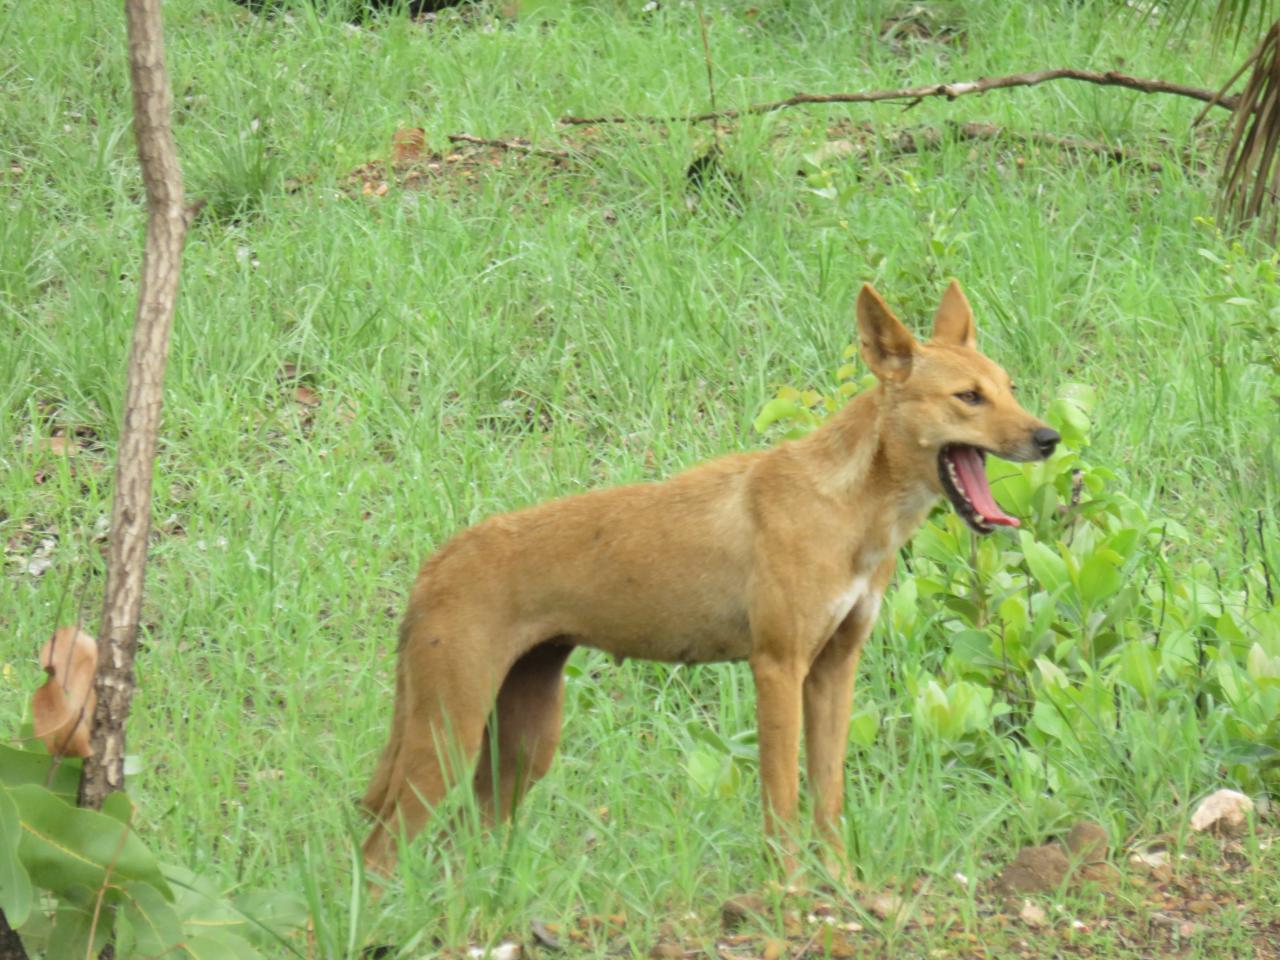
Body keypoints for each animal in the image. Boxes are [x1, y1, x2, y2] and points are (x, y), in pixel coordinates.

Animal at [363, 281, 1059, 875]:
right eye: (969, 397)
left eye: (1010, 388)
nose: (1049, 437)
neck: (851, 511)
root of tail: (434, 562)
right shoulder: (777, 666)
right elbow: (781, 806)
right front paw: (788, 900)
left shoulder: (834, 667)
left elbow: (828, 803)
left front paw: (842, 894)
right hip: (448, 734)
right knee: (379, 850)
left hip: (523, 746)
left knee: (458, 846)